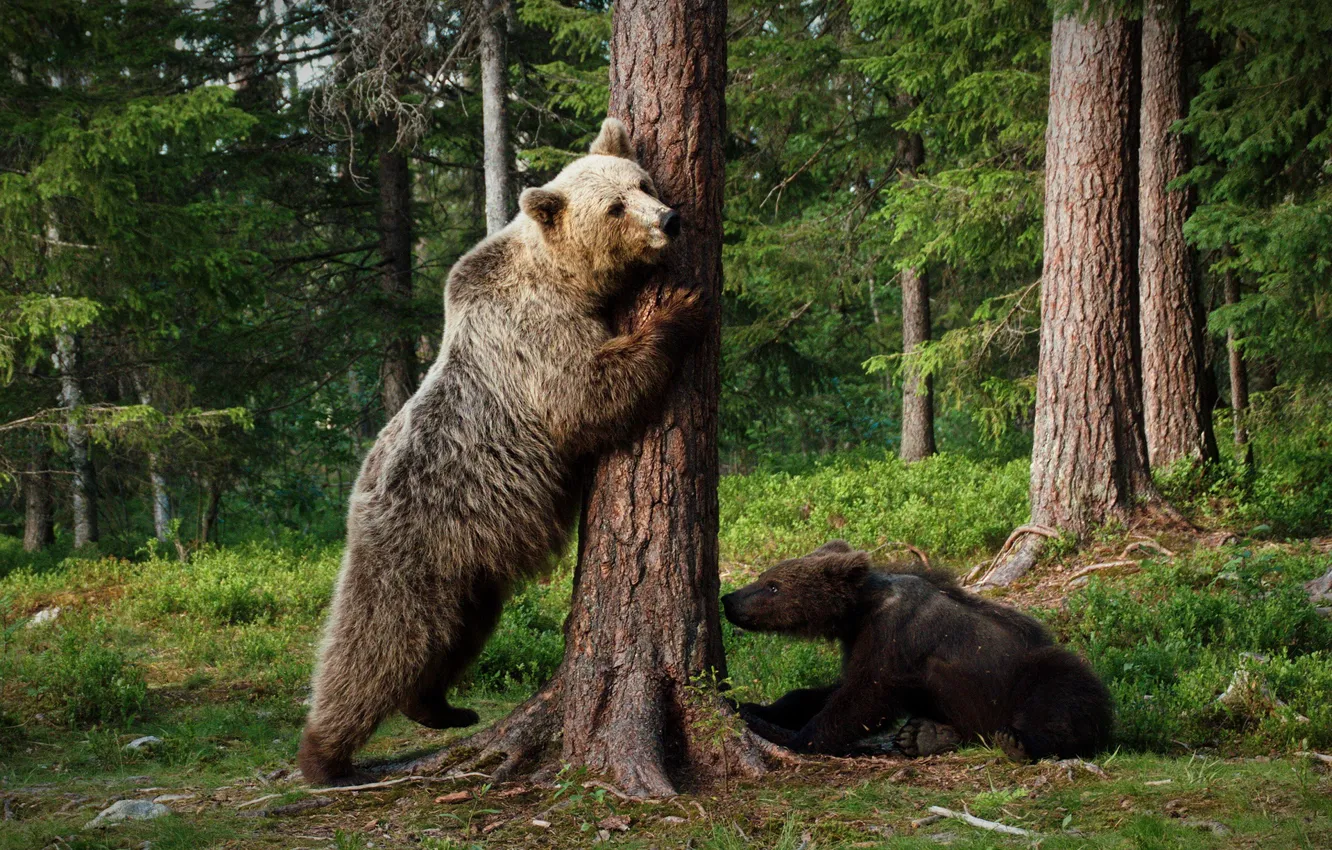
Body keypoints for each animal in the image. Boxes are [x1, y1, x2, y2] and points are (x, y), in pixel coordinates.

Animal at [297, 118, 703, 788]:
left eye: (642, 182)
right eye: (616, 207)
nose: (668, 219)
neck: (565, 279)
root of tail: (356, 496)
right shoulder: (531, 335)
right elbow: (585, 394)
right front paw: (679, 310)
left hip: (472, 559)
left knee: (458, 632)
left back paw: (440, 707)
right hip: (412, 542)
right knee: (377, 639)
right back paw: (324, 755)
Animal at [724, 546, 1108, 767]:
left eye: (774, 586)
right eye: (765, 577)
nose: (729, 599)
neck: (860, 612)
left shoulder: (894, 636)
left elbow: (863, 697)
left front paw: (793, 738)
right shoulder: (860, 642)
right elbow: (825, 690)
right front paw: (755, 707)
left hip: (1026, 674)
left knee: (1061, 693)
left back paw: (1019, 742)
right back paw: (926, 735)